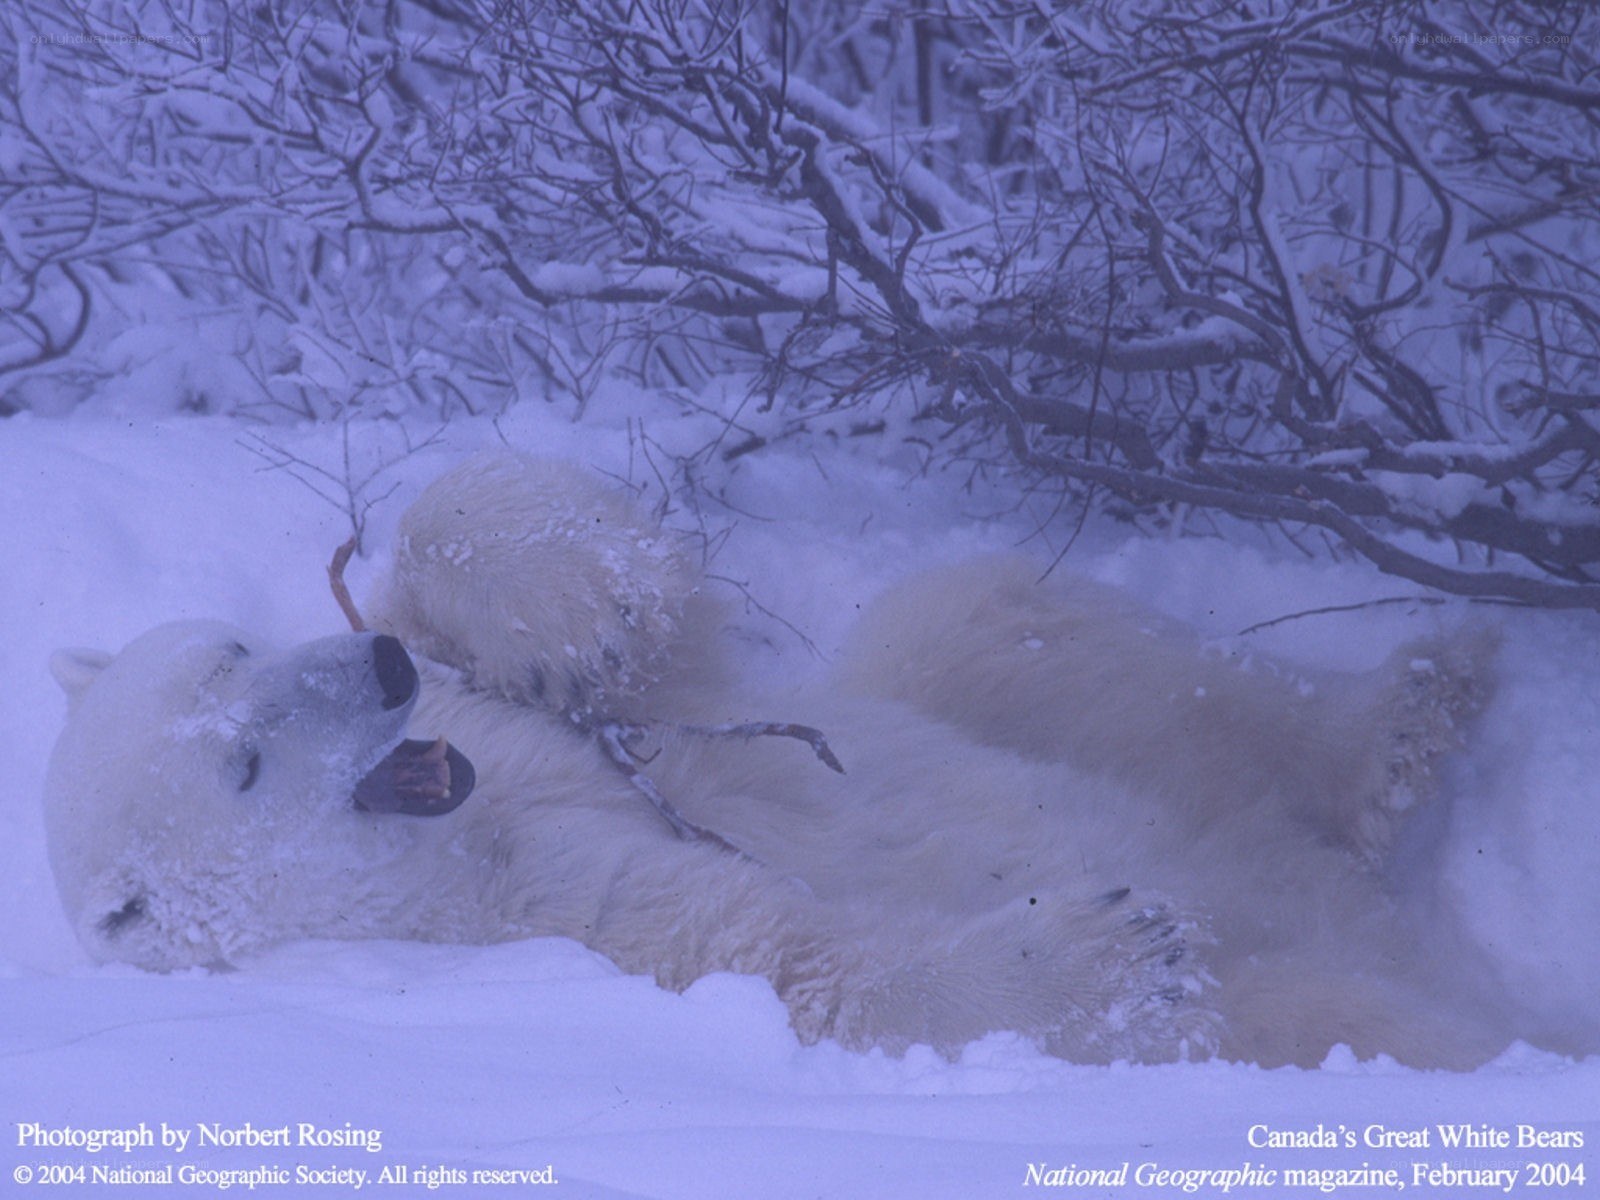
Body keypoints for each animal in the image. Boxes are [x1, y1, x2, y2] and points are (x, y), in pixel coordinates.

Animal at [43, 454, 1516, 1068]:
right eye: (242, 768)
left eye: (236, 647)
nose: (382, 675)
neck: (457, 841)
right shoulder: (564, 930)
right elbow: (805, 970)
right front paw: (1103, 948)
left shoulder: (532, 741)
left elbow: (639, 640)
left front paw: (573, 611)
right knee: (1307, 1011)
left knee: (1003, 628)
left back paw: (1408, 714)